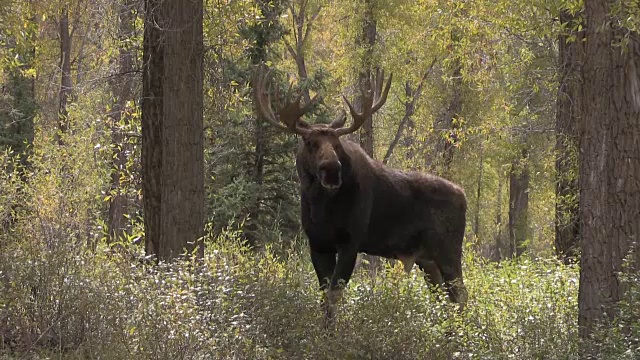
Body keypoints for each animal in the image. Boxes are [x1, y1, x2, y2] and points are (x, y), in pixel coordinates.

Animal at [252, 65, 468, 320]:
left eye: (337, 144)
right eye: (310, 143)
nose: (332, 169)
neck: (321, 208)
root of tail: (464, 196)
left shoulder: (351, 241)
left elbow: (334, 296)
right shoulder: (317, 243)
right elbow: (324, 296)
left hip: (448, 251)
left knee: (461, 297)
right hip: (426, 260)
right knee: (443, 299)